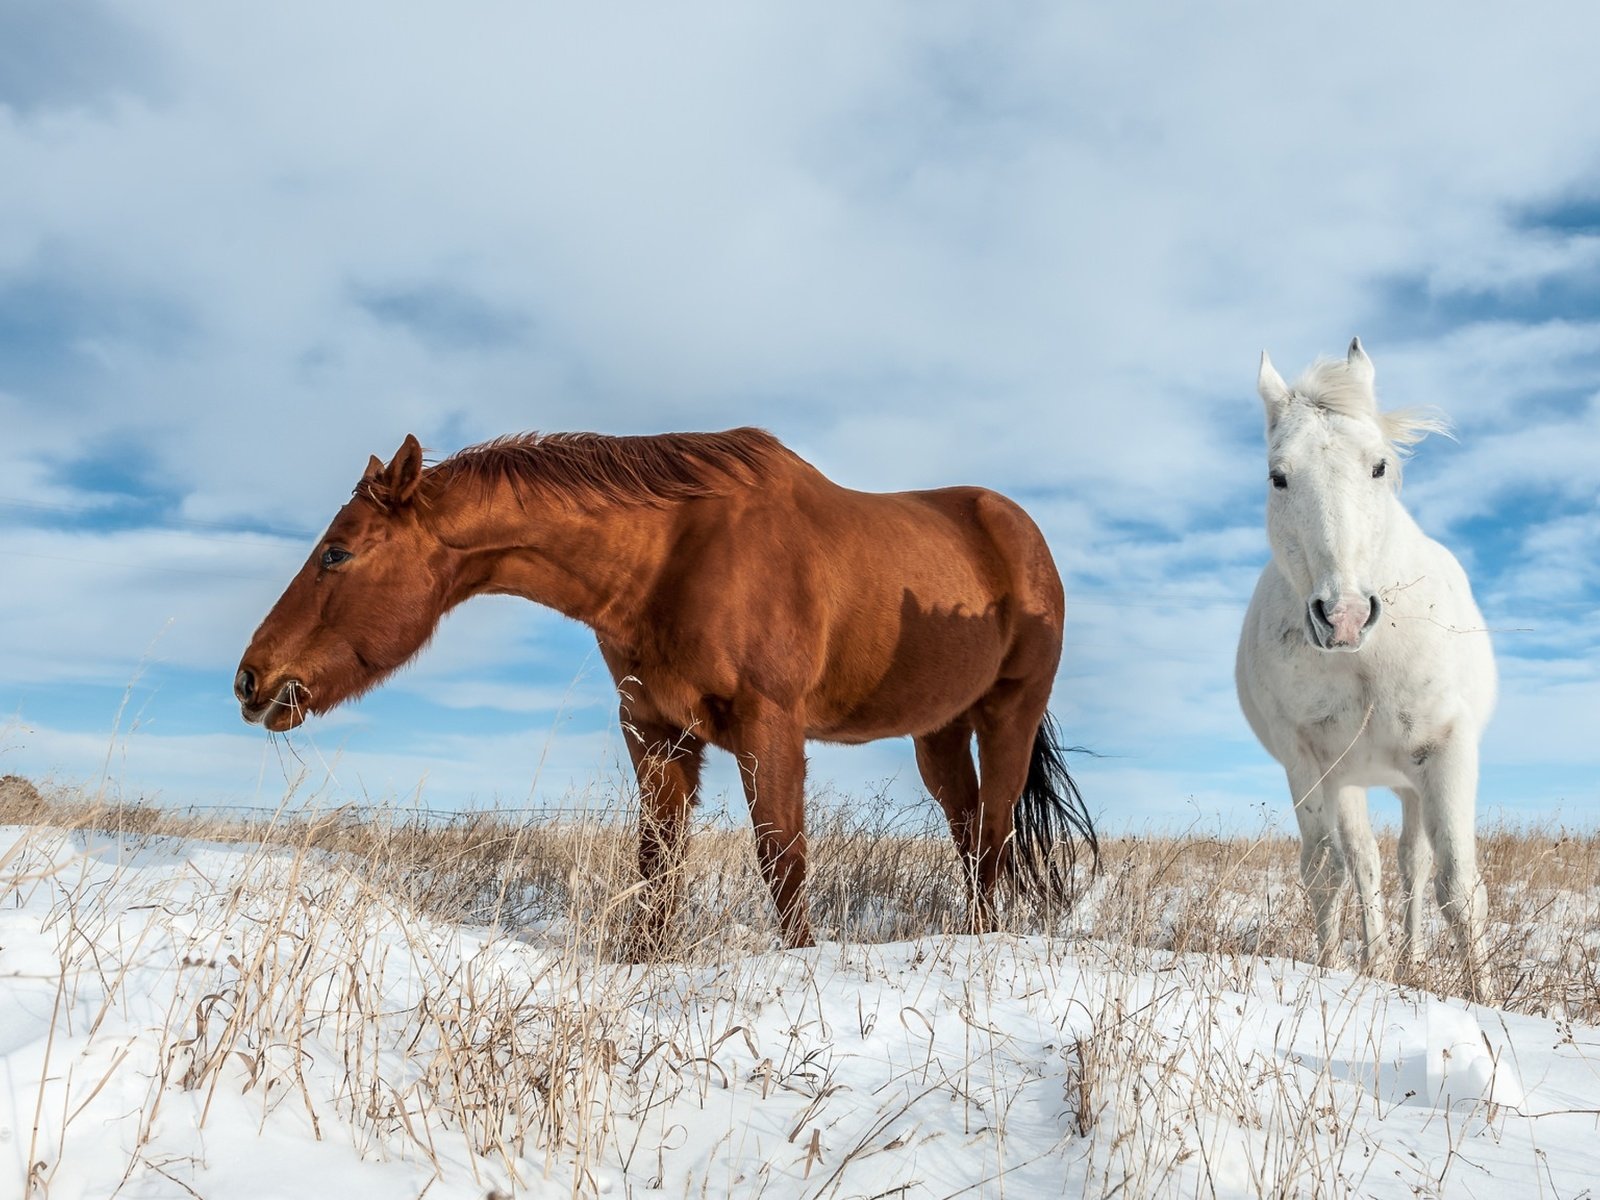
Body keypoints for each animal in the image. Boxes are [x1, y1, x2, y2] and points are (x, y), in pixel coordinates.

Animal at [232, 428, 1094, 947]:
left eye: (337, 553)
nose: (251, 679)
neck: (673, 556)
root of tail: (1020, 534)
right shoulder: (655, 733)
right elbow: (657, 867)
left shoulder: (770, 729)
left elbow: (782, 862)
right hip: (938, 729)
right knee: (969, 832)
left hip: (1007, 715)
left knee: (993, 836)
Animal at [1241, 339, 1491, 985]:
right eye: (1279, 477)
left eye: (1378, 466)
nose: (1345, 616)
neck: (1368, 658)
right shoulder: (1308, 764)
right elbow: (1326, 877)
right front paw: (1327, 973)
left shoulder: (1448, 750)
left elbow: (1460, 889)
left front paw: (1484, 997)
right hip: (1352, 779)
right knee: (1366, 864)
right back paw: (1379, 960)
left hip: (1409, 782)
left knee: (1415, 867)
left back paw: (1411, 956)